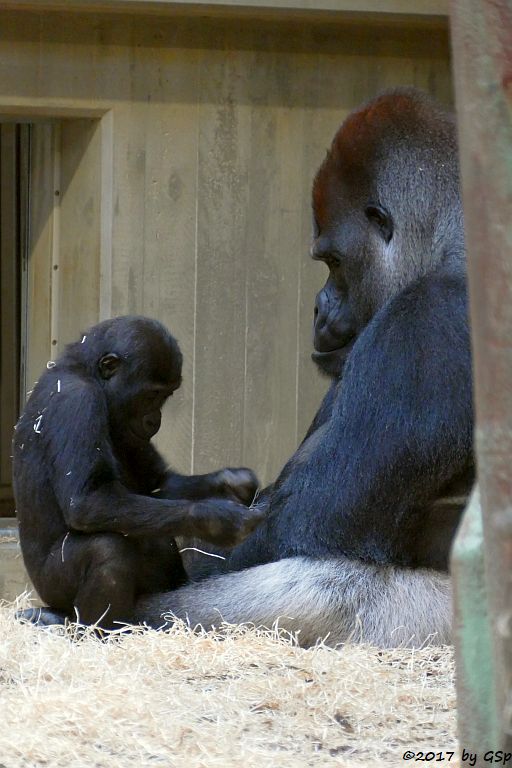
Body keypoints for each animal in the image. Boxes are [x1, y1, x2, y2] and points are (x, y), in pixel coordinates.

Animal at [13, 316, 260, 632]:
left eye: (167, 394)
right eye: (151, 394)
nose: (155, 420)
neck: (84, 370)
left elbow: (158, 485)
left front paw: (234, 483)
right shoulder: (77, 400)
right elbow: (87, 501)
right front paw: (216, 519)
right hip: (49, 585)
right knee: (107, 549)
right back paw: (90, 632)